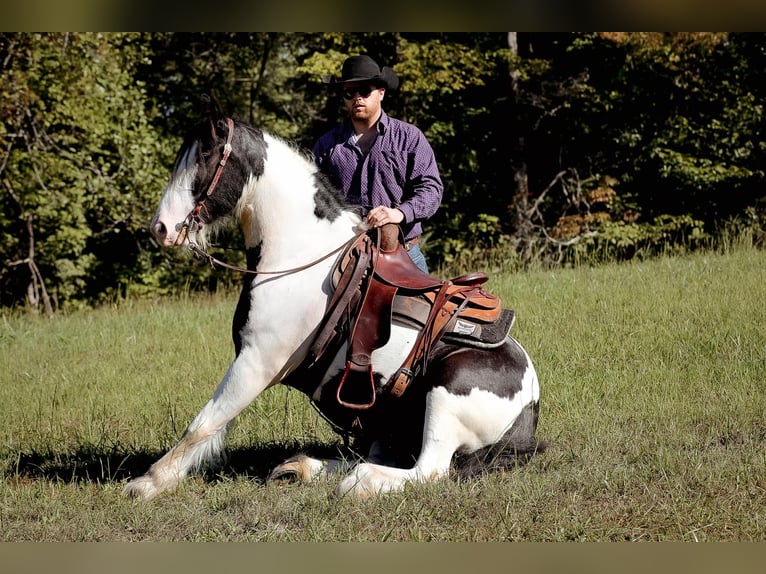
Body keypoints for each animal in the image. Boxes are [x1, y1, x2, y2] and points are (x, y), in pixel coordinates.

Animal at [124, 97, 544, 502]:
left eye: (205, 158)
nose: (160, 228)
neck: (299, 255)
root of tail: (530, 403)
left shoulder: (257, 362)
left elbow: (204, 423)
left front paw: (150, 483)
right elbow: (213, 423)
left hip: (446, 392)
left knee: (429, 470)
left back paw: (360, 482)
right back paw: (302, 467)